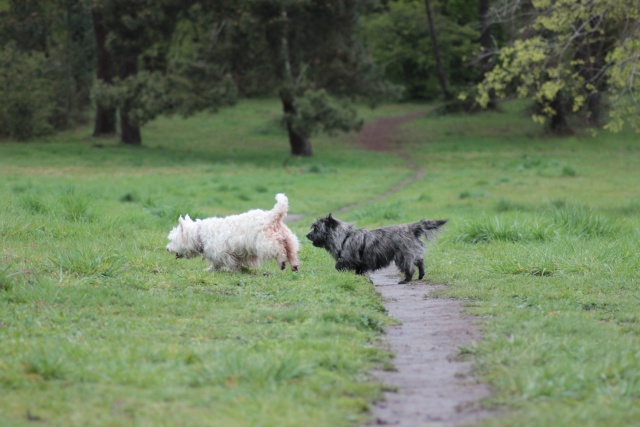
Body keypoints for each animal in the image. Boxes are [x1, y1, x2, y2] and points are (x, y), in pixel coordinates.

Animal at [168, 193, 302, 270]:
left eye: (172, 240)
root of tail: (273, 216)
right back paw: (294, 265)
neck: (199, 234)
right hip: (288, 240)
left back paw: (282, 263)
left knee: (280, 252)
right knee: (291, 253)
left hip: (266, 243)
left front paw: (235, 271)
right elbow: (216, 265)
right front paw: (210, 270)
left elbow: (230, 263)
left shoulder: (223, 252)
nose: (167, 248)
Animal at [308, 214, 448, 284]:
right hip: (412, 252)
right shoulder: (360, 264)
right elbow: (360, 271)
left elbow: (339, 265)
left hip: (403, 255)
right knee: (420, 261)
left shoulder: (348, 259)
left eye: (316, 228)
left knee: (410, 267)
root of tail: (411, 228)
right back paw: (421, 275)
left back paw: (406, 280)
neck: (344, 238)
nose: (307, 235)